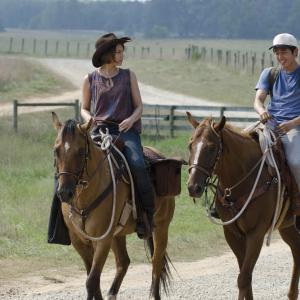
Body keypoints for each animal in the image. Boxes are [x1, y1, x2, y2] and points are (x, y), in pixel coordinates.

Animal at [51, 112, 173, 300]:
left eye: (80, 151)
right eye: (56, 151)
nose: (64, 192)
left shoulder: (103, 239)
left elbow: (91, 281)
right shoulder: (79, 240)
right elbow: (93, 278)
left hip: (161, 226)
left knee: (156, 262)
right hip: (118, 234)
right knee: (124, 262)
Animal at [186, 112, 300, 300]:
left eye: (211, 147)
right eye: (190, 145)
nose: (193, 187)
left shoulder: (256, 234)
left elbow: (243, 278)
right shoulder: (233, 234)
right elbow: (245, 277)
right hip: (287, 226)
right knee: (297, 251)